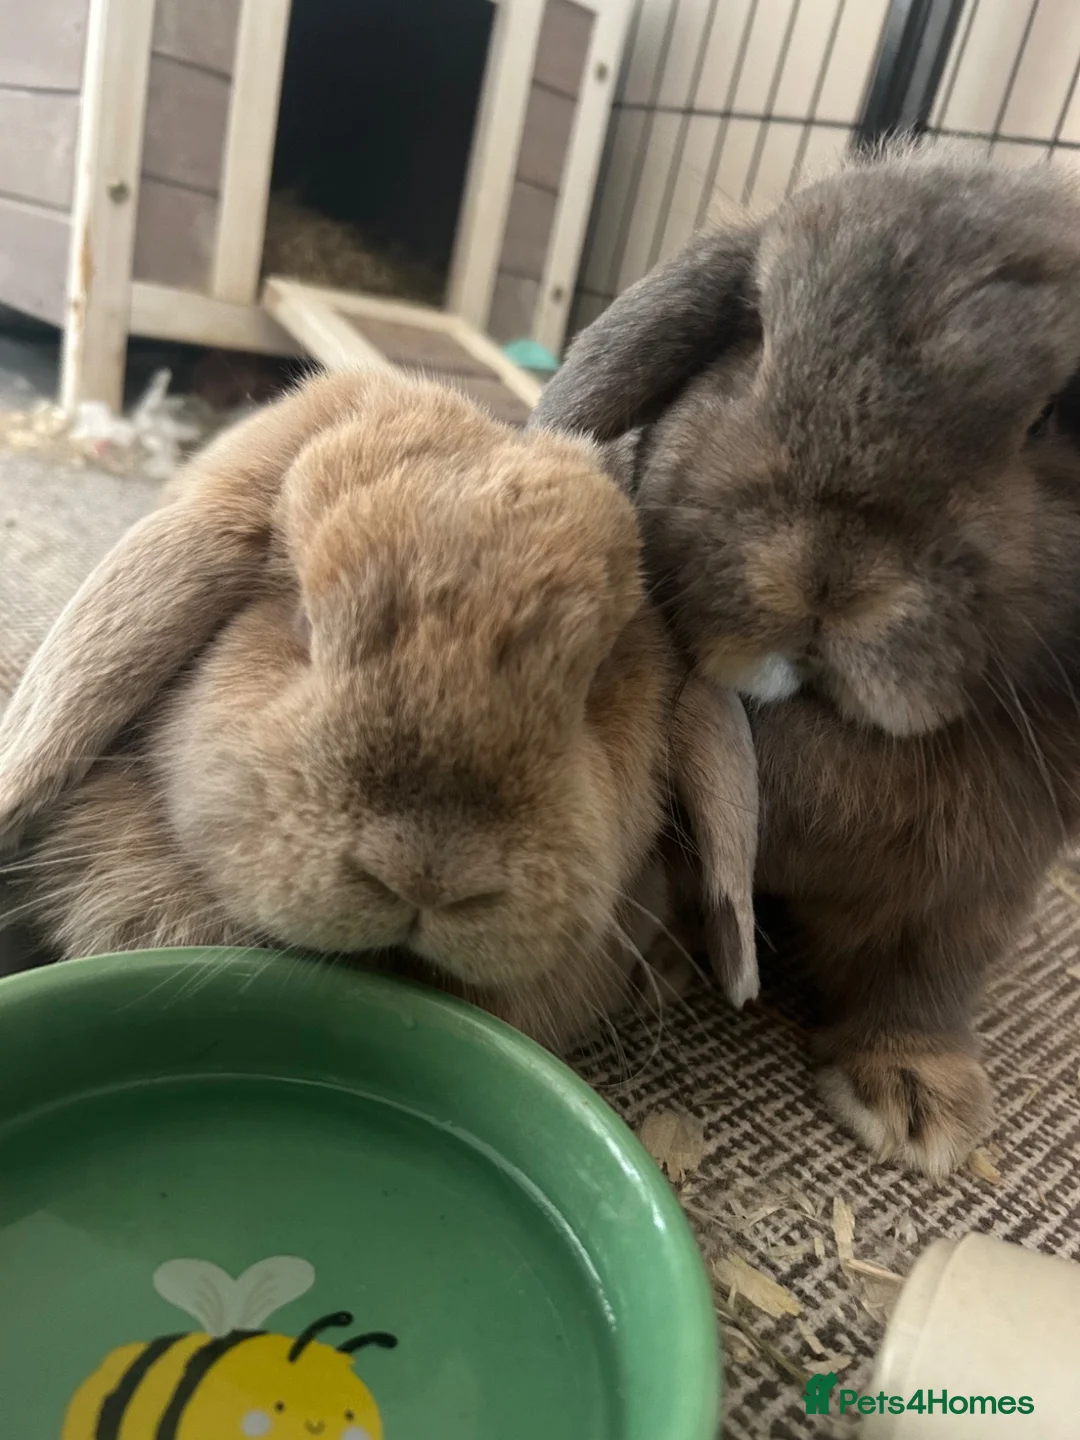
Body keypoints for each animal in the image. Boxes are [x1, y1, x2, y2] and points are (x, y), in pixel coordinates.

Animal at [531, 143, 1080, 1173]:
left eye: (1056, 420)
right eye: (754, 337)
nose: (824, 577)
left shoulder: (970, 894)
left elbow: (921, 985)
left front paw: (917, 1106)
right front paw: (660, 964)